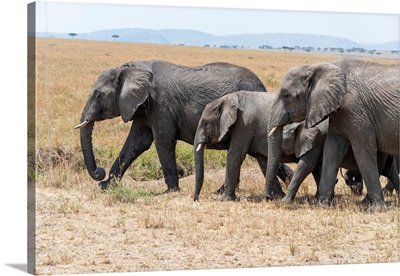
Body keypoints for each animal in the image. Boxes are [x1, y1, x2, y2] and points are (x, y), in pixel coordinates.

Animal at [74, 59, 268, 191]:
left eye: (98, 95)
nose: (99, 171)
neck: (131, 68)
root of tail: (263, 86)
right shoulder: (142, 107)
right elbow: (136, 143)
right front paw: (106, 186)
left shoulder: (161, 103)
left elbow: (163, 141)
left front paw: (171, 191)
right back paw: (221, 191)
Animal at [194, 91, 328, 202]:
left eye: (205, 123)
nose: (196, 199)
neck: (228, 99)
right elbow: (263, 160)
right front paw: (276, 197)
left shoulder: (244, 124)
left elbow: (235, 154)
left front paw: (224, 200)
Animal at [266, 57, 400, 210]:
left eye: (286, 95)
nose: (268, 198)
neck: (319, 66)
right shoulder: (338, 112)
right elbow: (332, 150)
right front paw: (322, 205)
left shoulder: (357, 110)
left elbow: (363, 150)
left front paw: (377, 209)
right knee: (388, 170)